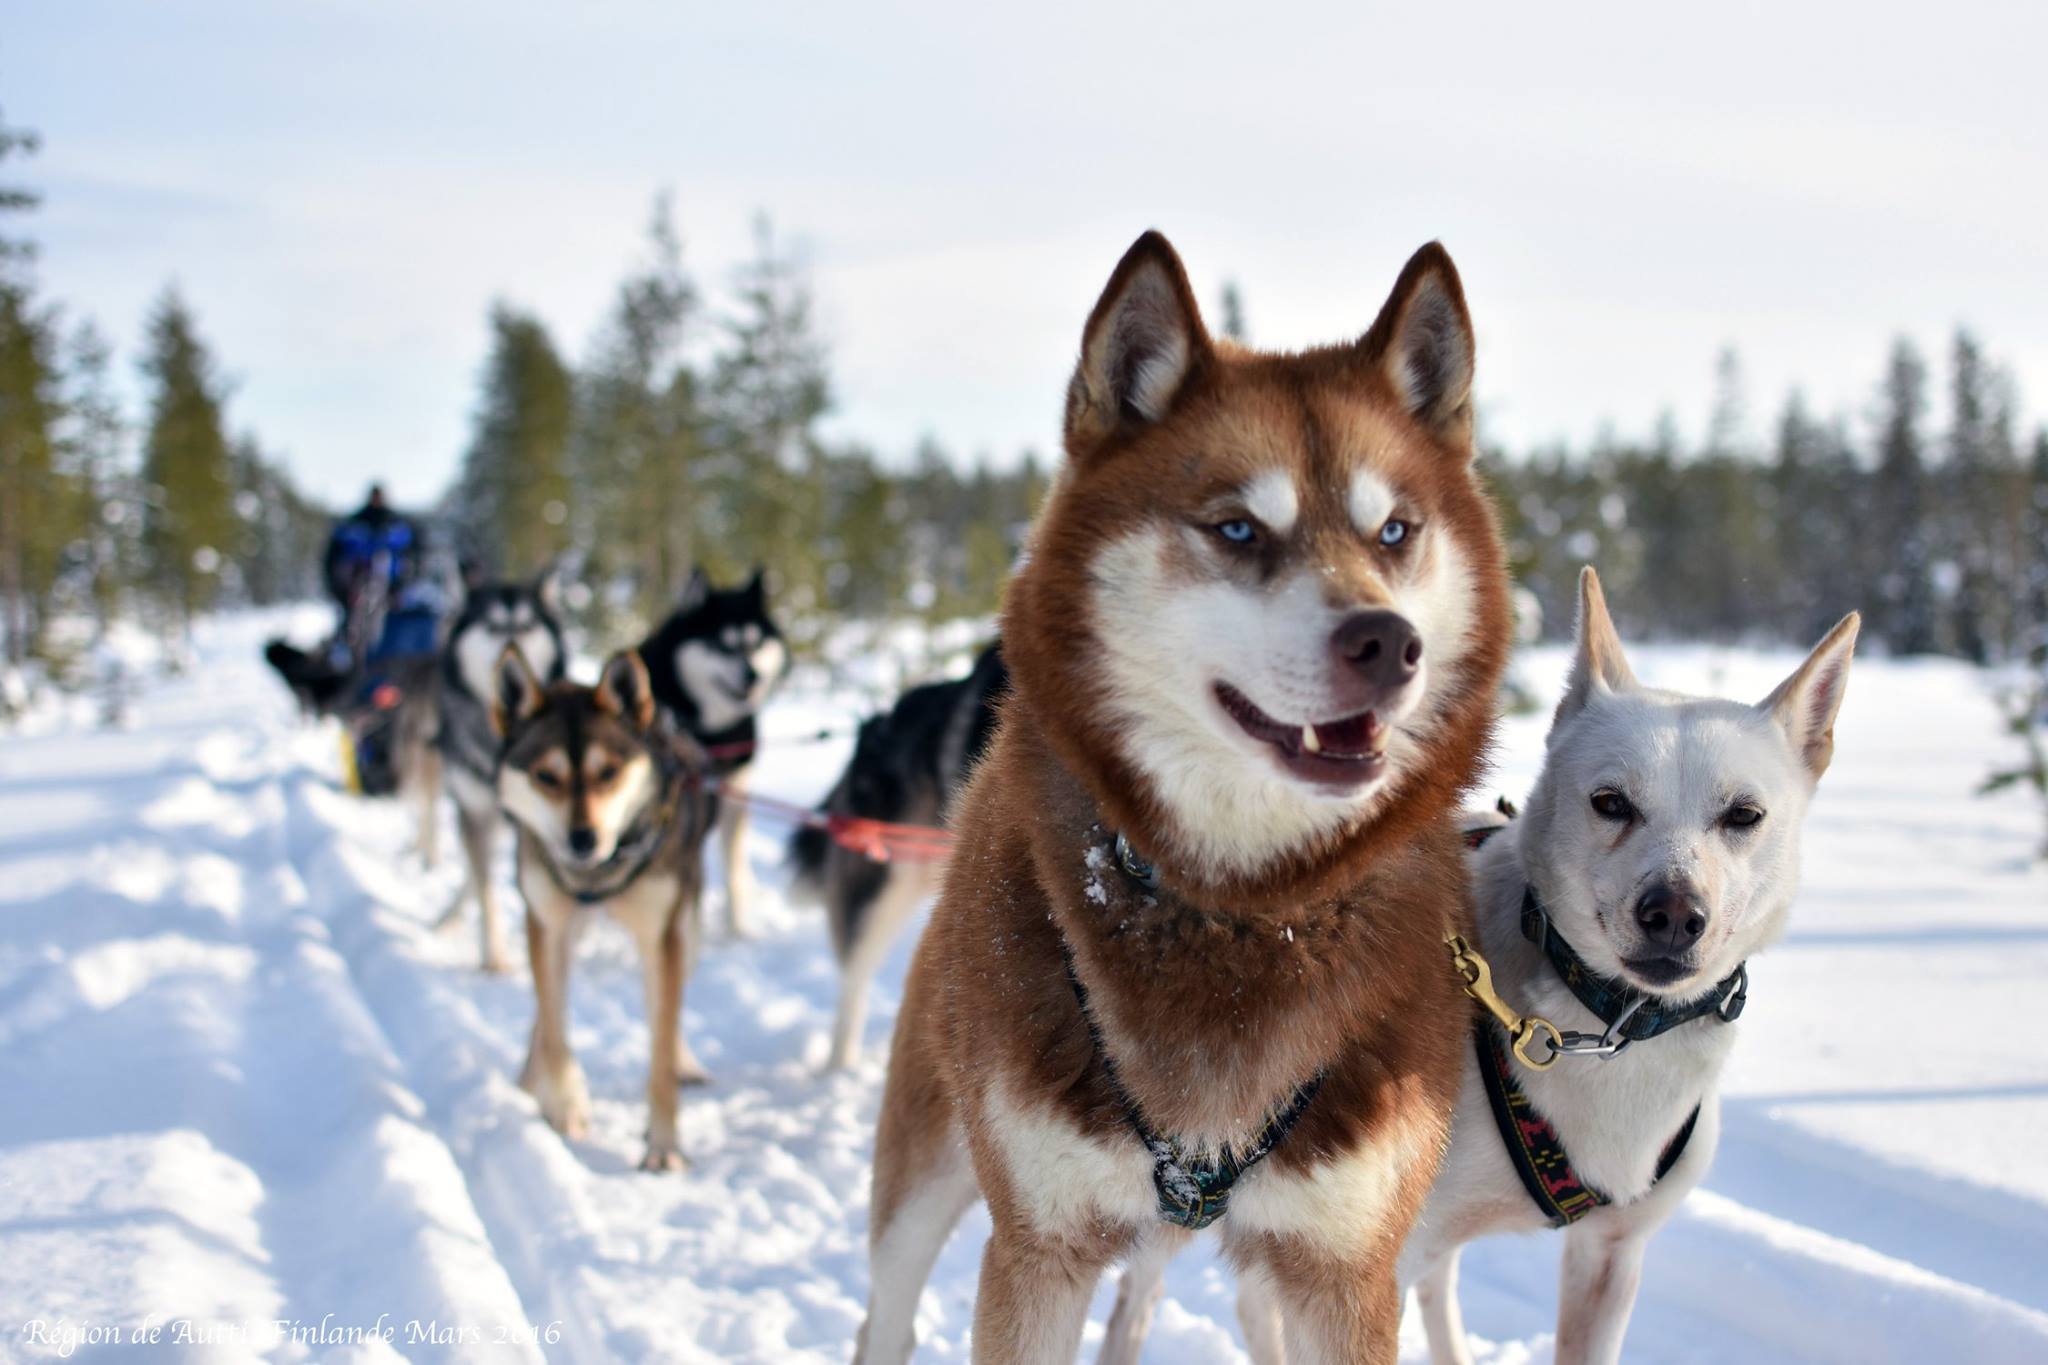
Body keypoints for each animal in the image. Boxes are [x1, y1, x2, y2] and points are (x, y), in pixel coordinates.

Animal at [638, 568, 790, 941]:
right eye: (723, 644)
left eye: (756, 643)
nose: (752, 675)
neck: (709, 731)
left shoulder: (734, 792)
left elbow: (733, 869)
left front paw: (739, 929)